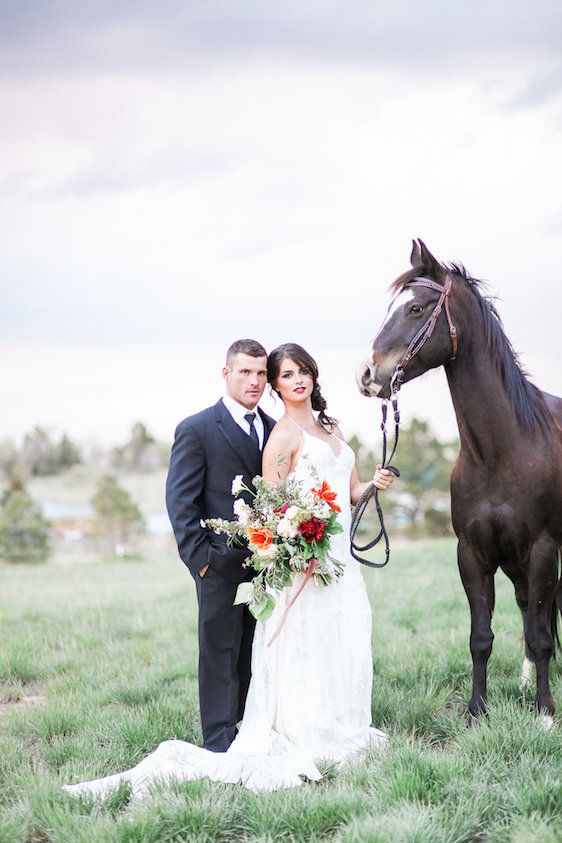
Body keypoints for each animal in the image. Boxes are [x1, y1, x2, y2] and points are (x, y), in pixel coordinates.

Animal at [354, 241, 560, 724]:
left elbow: (542, 635)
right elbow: (481, 637)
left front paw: (544, 713)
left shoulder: (543, 550)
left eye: (415, 308)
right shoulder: (473, 554)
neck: (499, 452)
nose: (366, 374)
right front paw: (476, 711)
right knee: (527, 606)